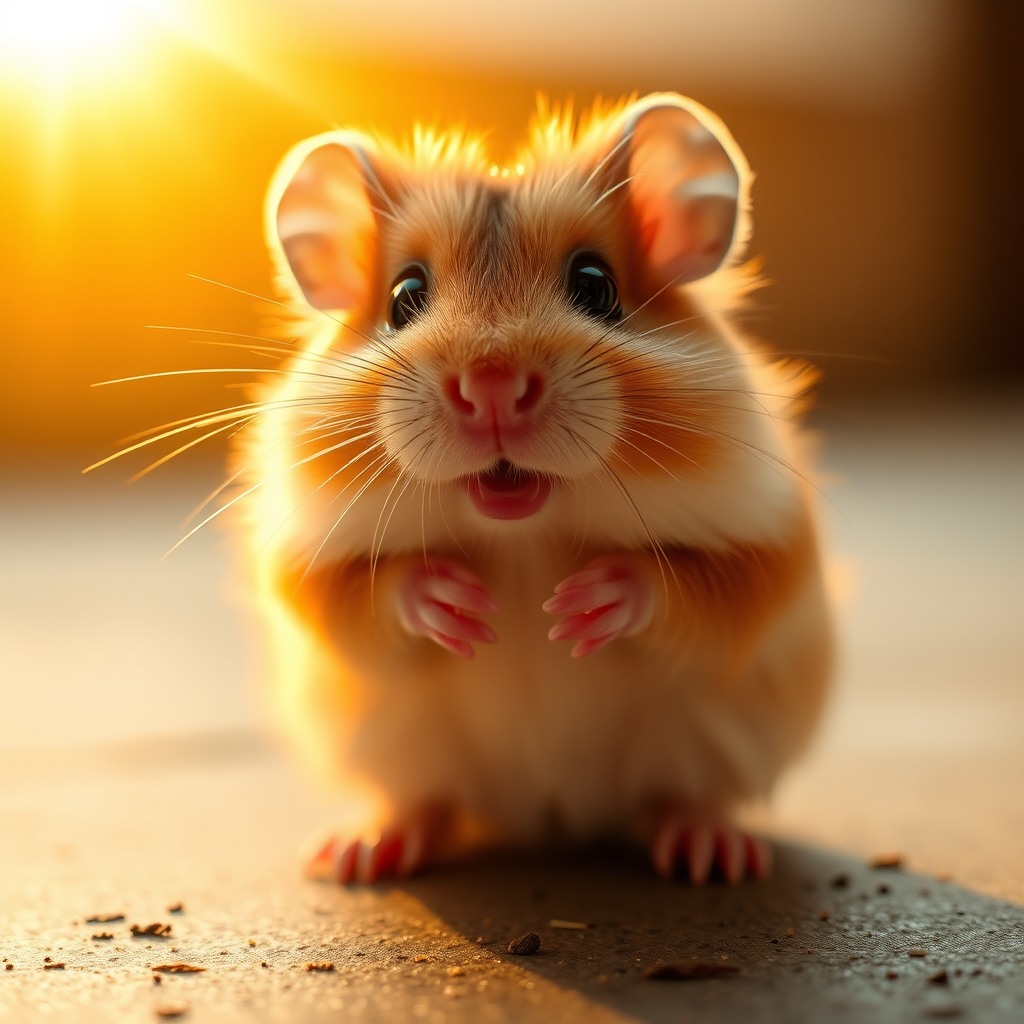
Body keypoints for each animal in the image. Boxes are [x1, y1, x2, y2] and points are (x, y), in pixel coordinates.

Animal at [239, 93, 832, 885]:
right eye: (403, 297)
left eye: (596, 285)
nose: (491, 384)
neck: (522, 532)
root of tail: (552, 820)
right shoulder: (307, 561)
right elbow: (361, 597)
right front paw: (461, 605)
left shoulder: (771, 544)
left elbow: (700, 590)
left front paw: (580, 606)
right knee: (423, 800)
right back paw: (358, 854)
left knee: (682, 797)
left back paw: (713, 855)